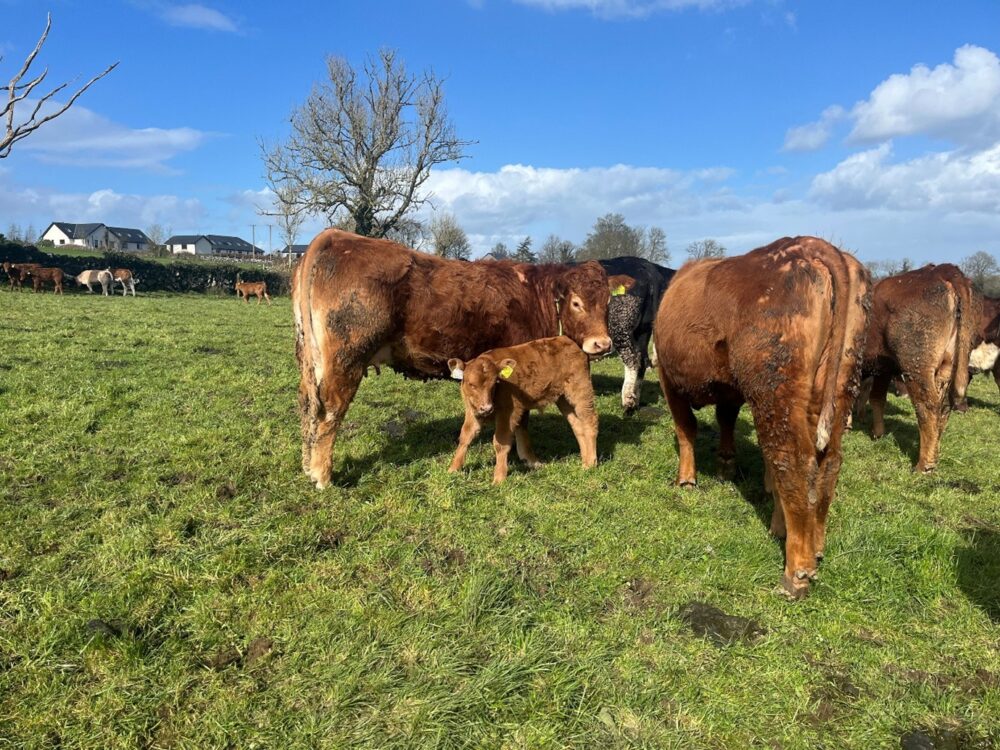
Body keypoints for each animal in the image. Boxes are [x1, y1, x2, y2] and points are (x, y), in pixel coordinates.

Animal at [446, 336, 598, 484]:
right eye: (471, 384)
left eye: (494, 383)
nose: (487, 407)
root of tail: (567, 340)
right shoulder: (472, 412)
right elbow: (465, 436)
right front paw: (453, 468)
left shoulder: (509, 412)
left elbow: (501, 442)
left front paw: (499, 478)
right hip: (563, 399)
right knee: (577, 425)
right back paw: (584, 459)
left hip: (581, 390)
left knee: (590, 420)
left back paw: (590, 463)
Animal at [597, 257, 675, 414]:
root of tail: (646, 265)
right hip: (642, 329)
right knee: (642, 360)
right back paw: (636, 401)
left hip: (620, 325)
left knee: (632, 360)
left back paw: (627, 402)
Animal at [654, 236, 871, 599]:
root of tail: (811, 244)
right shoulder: (729, 388)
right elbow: (726, 420)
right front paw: (727, 465)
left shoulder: (670, 382)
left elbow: (686, 429)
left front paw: (686, 479)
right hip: (838, 387)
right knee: (828, 465)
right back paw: (814, 546)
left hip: (775, 390)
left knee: (793, 463)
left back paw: (797, 572)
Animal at [860, 264, 980, 473]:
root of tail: (941, 270)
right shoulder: (882, 366)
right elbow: (876, 398)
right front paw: (877, 434)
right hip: (946, 366)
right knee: (943, 407)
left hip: (916, 366)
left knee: (927, 407)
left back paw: (924, 465)